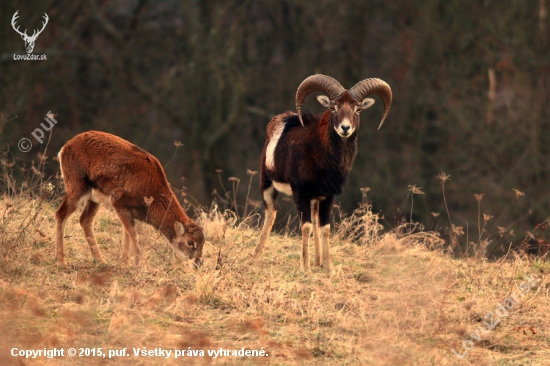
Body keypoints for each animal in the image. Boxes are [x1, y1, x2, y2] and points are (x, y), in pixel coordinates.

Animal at [55, 131, 206, 266]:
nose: (198, 263)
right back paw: (61, 261)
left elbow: (126, 232)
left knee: (85, 220)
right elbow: (132, 232)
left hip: (94, 198)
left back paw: (101, 261)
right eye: (190, 242)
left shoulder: (127, 210)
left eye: (203, 242)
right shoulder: (117, 199)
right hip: (77, 186)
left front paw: (125, 263)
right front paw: (140, 265)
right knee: (60, 213)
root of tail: (64, 148)